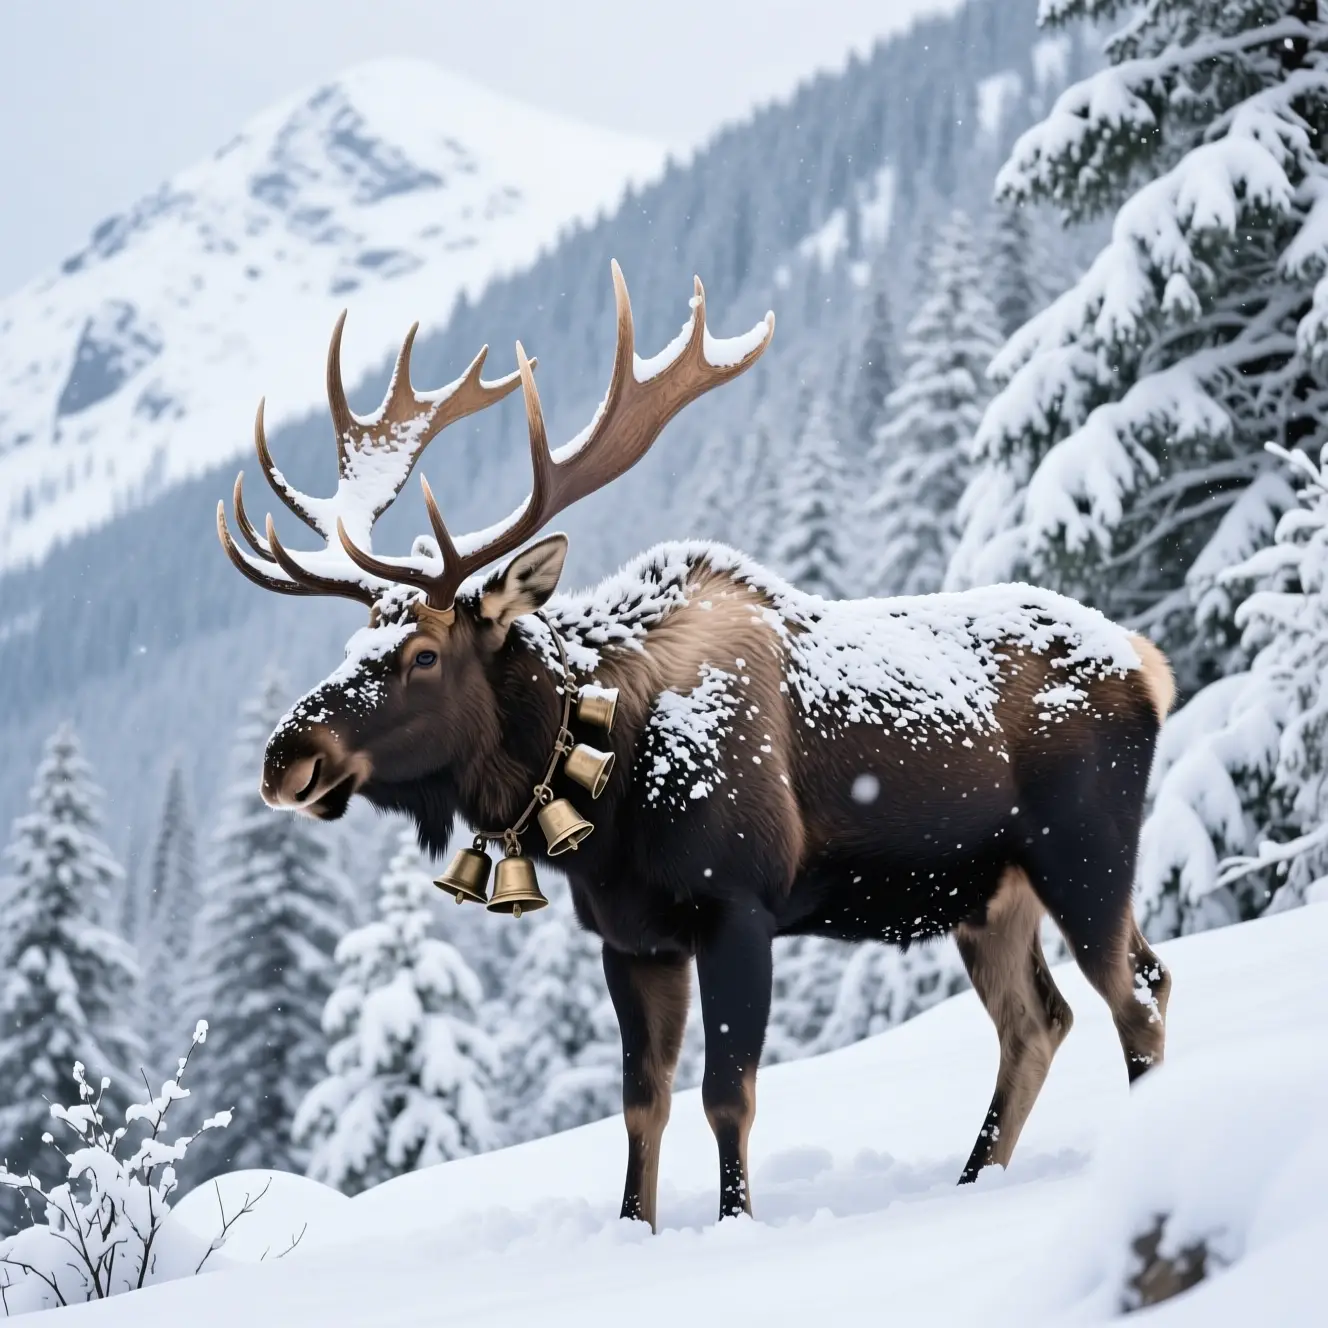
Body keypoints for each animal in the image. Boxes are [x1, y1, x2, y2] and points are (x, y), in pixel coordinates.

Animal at [217, 261, 1174, 1230]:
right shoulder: (633, 939)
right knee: (1039, 1021)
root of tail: (1147, 664)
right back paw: (976, 1179)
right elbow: (644, 1102)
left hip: (1084, 852)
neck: (612, 806)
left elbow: (727, 1094)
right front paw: (634, 1229)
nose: (284, 759)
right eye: (355, 642)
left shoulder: (738, 907)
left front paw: (734, 1225)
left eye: (423, 654)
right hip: (989, 893)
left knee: (1138, 995)